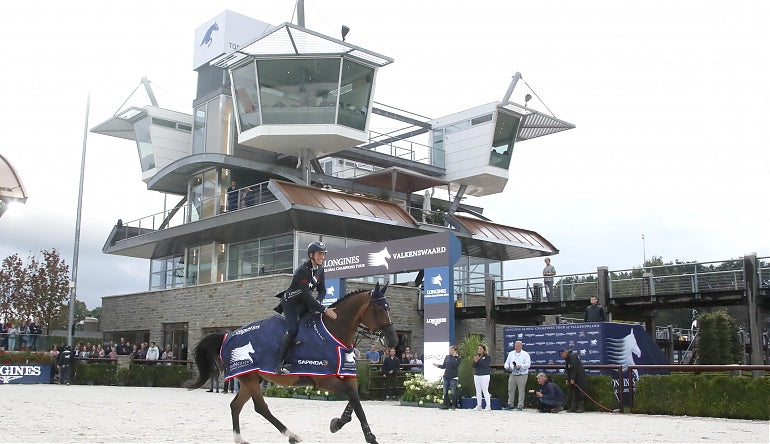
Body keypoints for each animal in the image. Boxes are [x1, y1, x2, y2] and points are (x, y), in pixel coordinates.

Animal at [190, 282, 400, 442]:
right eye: (379, 308)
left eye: (389, 308)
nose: (393, 341)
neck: (333, 331)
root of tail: (228, 335)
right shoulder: (325, 380)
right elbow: (354, 398)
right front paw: (369, 436)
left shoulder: (346, 374)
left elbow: (355, 398)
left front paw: (338, 423)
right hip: (249, 378)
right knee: (261, 408)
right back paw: (292, 435)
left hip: (251, 378)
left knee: (236, 406)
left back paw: (240, 439)